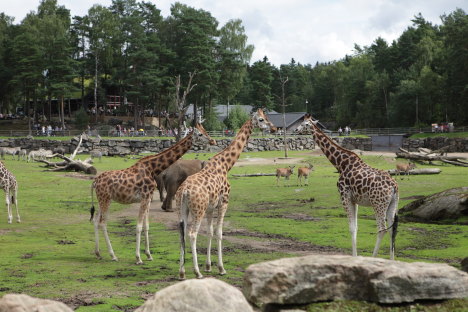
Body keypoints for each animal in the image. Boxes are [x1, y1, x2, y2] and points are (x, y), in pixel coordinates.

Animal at [91, 123, 216, 264]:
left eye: (205, 131)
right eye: (200, 134)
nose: (213, 141)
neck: (153, 168)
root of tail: (95, 181)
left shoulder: (148, 198)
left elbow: (146, 226)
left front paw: (148, 255)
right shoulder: (145, 197)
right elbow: (139, 226)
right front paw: (138, 258)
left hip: (103, 199)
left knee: (95, 220)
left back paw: (98, 253)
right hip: (105, 199)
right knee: (102, 222)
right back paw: (113, 255)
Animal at [177, 108, 276, 280]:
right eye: (261, 119)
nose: (274, 128)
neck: (225, 165)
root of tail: (184, 191)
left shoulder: (210, 207)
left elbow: (210, 232)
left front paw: (208, 266)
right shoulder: (224, 203)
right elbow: (219, 232)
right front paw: (221, 268)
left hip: (183, 209)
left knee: (182, 232)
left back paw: (182, 273)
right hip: (198, 210)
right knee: (192, 233)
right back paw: (197, 272)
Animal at [296, 113, 398, 260]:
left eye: (305, 124)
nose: (296, 130)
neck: (341, 164)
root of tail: (394, 186)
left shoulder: (344, 196)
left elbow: (351, 228)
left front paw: (354, 257)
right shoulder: (355, 200)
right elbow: (355, 227)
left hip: (378, 204)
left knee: (382, 229)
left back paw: (373, 258)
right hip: (392, 204)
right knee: (391, 230)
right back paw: (391, 260)